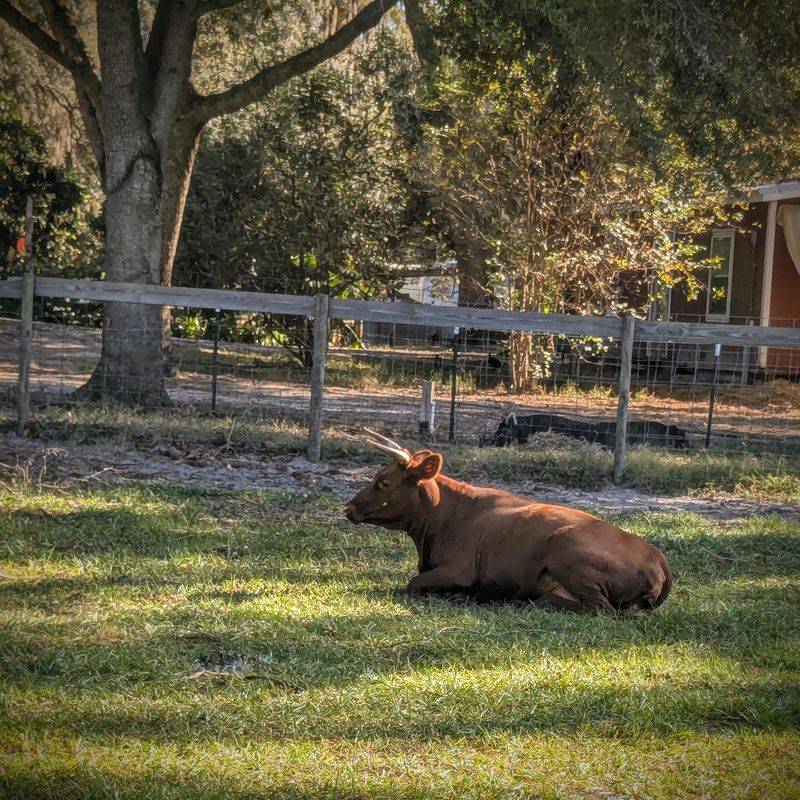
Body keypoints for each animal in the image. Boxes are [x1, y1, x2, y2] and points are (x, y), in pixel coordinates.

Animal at [345, 429, 673, 613]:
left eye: (384, 482)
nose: (348, 506)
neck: (448, 515)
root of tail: (655, 554)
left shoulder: (457, 571)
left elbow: (411, 585)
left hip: (567, 549)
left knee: (600, 608)